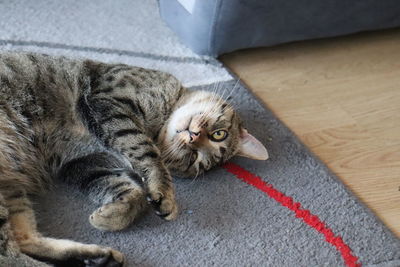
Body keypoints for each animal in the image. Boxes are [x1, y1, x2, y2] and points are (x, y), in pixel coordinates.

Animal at [0, 52, 268, 267]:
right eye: (218, 134)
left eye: (194, 159)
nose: (192, 138)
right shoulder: (108, 102)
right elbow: (147, 153)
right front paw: (164, 192)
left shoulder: (84, 161)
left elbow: (131, 190)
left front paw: (115, 214)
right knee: (10, 256)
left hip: (13, 190)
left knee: (24, 239)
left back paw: (98, 257)